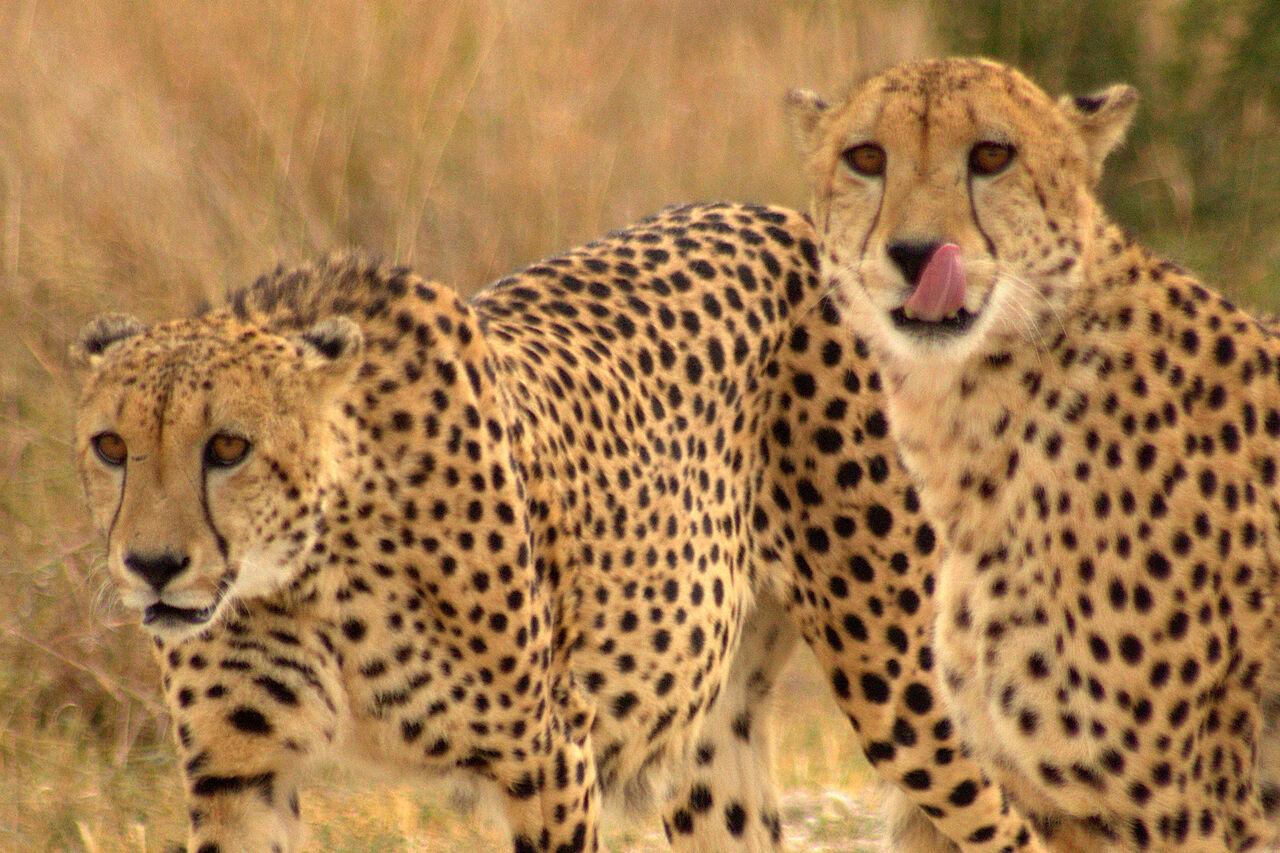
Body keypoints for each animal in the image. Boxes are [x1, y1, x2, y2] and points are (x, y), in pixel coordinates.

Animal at [74, 201, 1044, 853]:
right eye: (111, 446)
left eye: (229, 446)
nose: (152, 565)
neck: (307, 573)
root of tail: (793, 216)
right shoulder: (240, 771)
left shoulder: (549, 756)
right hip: (708, 737)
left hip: (908, 689)